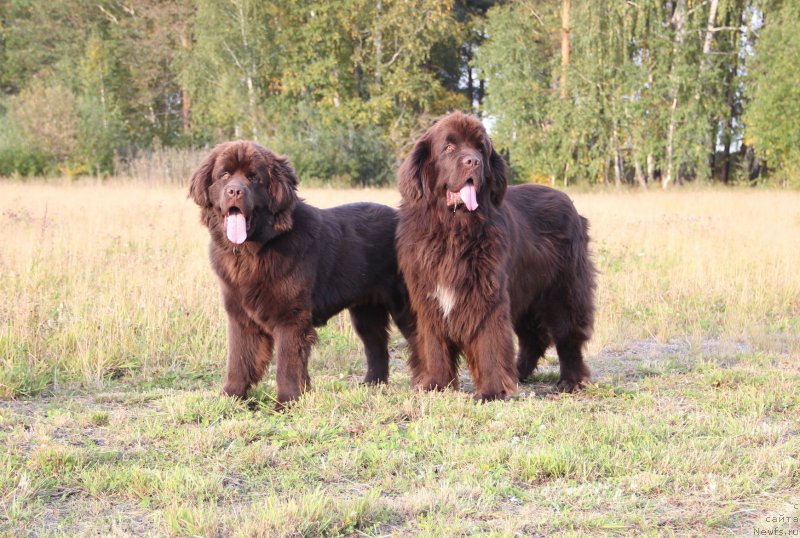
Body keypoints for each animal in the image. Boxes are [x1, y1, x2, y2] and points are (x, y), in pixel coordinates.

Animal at [190, 140, 416, 404]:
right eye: (224, 175)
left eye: (254, 177)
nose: (235, 191)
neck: (256, 249)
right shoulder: (241, 316)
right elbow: (239, 359)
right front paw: (231, 397)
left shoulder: (291, 317)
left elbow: (287, 363)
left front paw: (286, 401)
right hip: (366, 311)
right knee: (376, 344)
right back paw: (372, 383)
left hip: (405, 305)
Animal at [396, 112, 596, 398]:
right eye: (449, 147)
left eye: (481, 148)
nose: (473, 161)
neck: (452, 230)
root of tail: (570, 204)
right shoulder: (428, 296)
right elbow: (433, 342)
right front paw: (435, 384)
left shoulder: (487, 294)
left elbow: (489, 341)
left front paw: (492, 391)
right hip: (527, 291)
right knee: (534, 338)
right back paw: (518, 373)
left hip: (564, 288)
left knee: (568, 335)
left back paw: (571, 380)